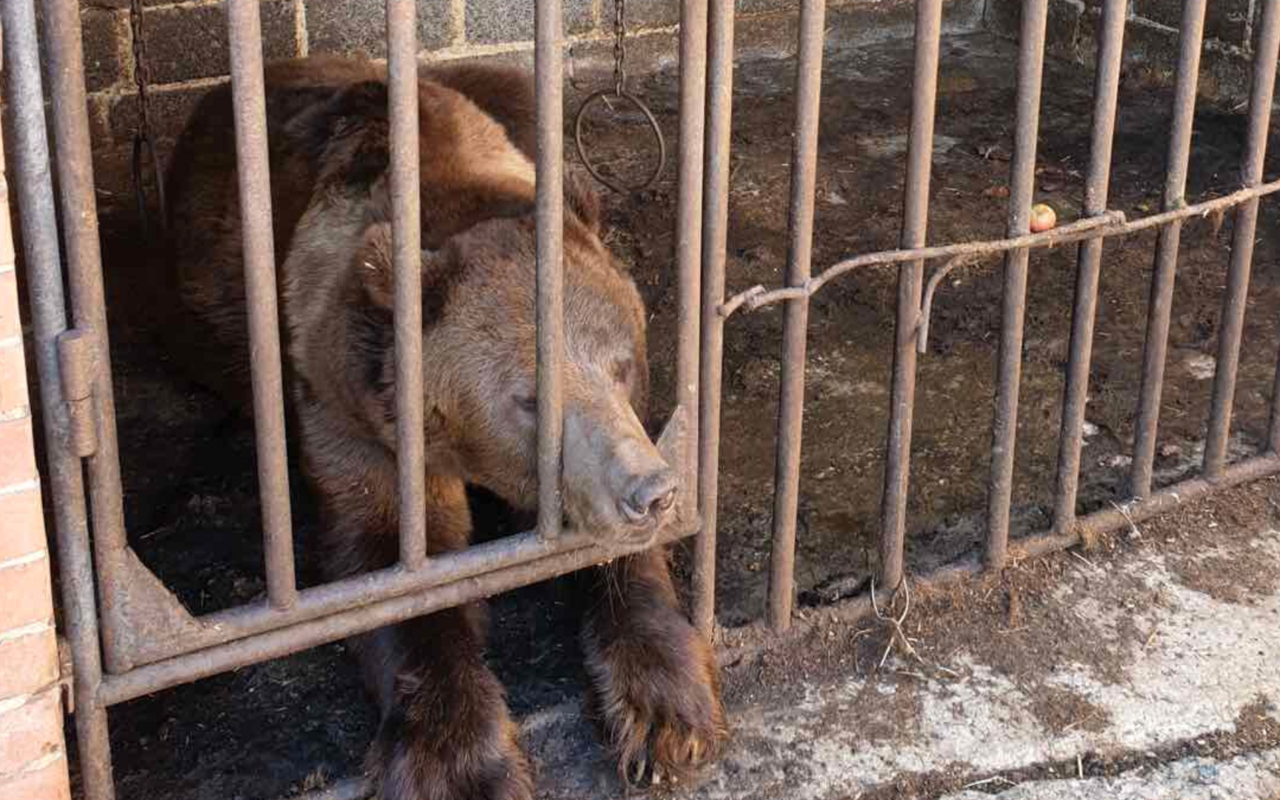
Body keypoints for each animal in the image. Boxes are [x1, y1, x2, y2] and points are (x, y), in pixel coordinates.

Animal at [161, 56, 727, 798]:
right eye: (529, 397)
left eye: (623, 365)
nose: (649, 494)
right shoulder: (348, 404)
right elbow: (394, 558)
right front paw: (463, 763)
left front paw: (666, 712)